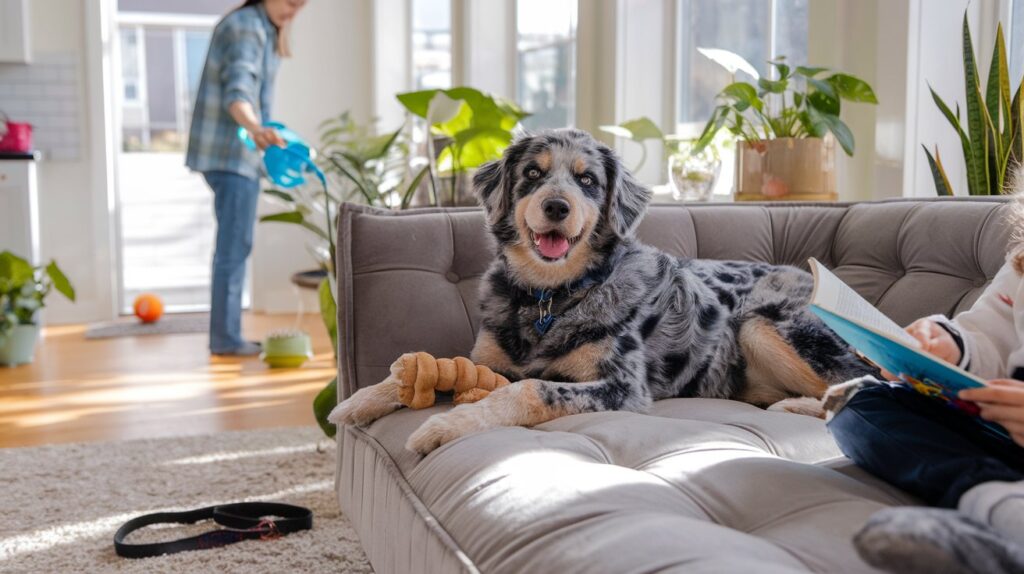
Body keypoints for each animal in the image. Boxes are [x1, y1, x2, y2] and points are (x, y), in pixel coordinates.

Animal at [331, 128, 876, 452]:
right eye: (532, 174)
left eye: (588, 180)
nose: (556, 206)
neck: (550, 297)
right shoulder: (492, 360)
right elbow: (433, 365)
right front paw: (361, 400)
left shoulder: (623, 386)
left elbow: (529, 389)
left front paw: (444, 425)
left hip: (764, 324)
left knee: (865, 383)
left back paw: (801, 407)